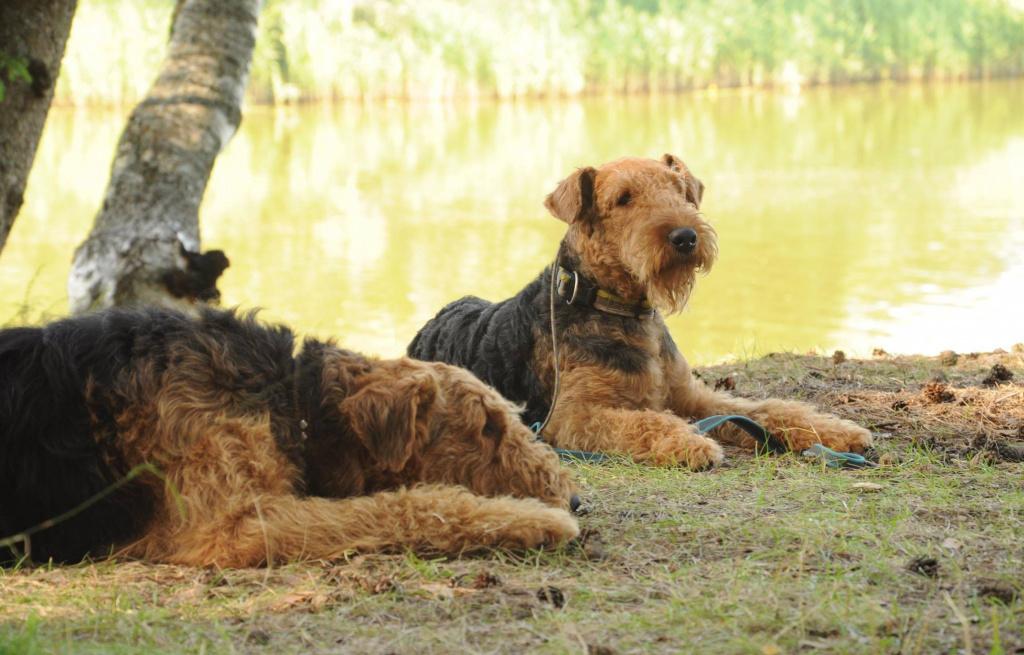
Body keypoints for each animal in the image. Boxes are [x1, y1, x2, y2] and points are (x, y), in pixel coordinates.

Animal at [0, 307, 577, 569]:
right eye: (486, 426)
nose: (574, 500)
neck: (296, 400)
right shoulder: (235, 526)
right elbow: (408, 505)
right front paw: (534, 521)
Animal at [407, 155, 872, 468]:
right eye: (623, 198)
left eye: (678, 189)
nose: (685, 237)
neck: (622, 309)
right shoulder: (572, 418)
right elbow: (646, 423)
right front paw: (690, 444)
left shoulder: (694, 397)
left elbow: (771, 409)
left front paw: (839, 432)